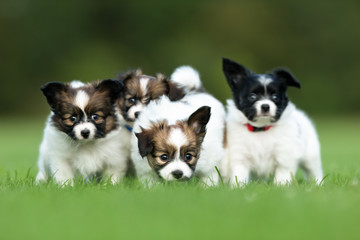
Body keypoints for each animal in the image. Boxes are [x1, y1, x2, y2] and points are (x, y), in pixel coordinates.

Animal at [221, 58, 324, 186]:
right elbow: (239, 176)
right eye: (252, 96)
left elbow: (282, 177)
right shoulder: (240, 158)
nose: (265, 106)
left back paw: (318, 184)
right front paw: (238, 188)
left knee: (314, 171)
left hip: (311, 156)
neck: (261, 129)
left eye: (275, 97)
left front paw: (280, 187)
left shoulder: (284, 158)